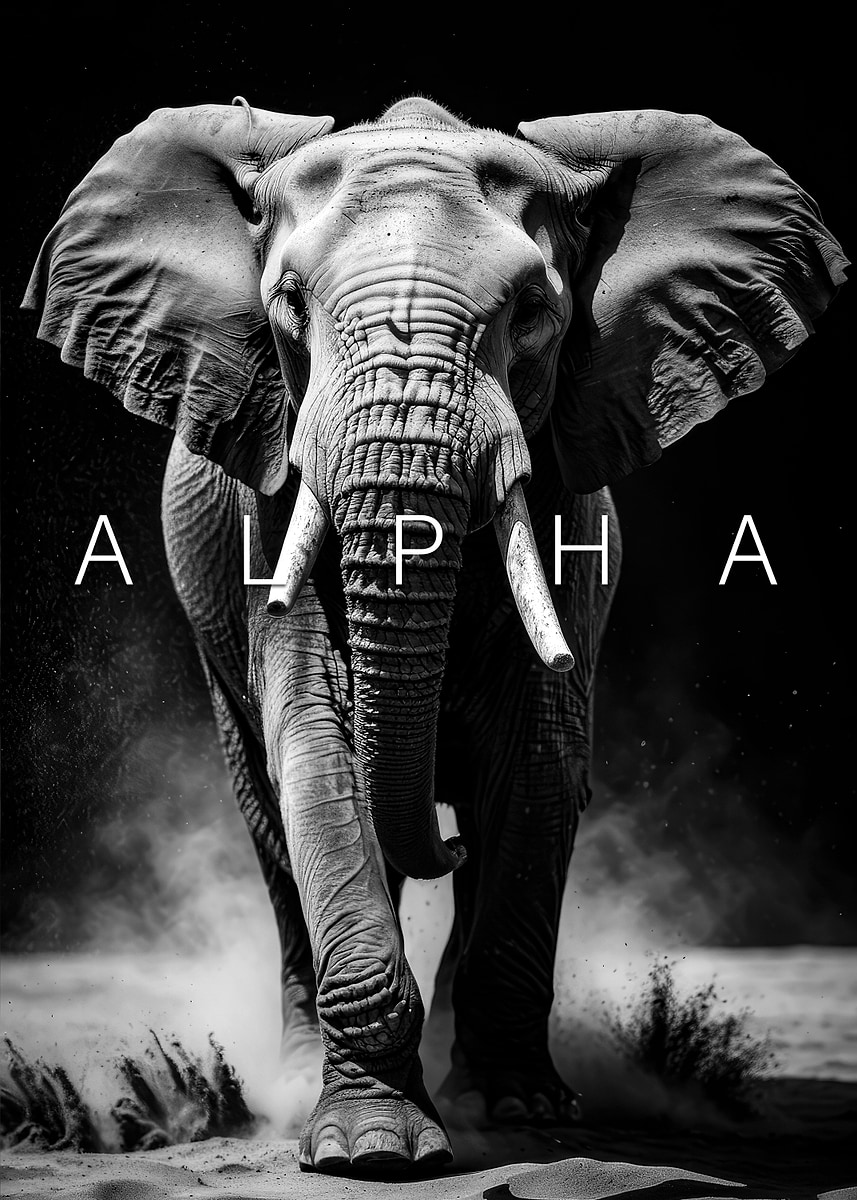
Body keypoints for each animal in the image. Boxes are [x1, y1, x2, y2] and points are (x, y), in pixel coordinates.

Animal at [25, 95, 845, 1174]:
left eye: (534, 312)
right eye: (287, 306)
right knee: (268, 824)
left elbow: (537, 761)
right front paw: (368, 1150)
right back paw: (296, 1079)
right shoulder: (264, 502)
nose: (438, 844)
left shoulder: (564, 500)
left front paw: (521, 1114)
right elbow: (315, 755)